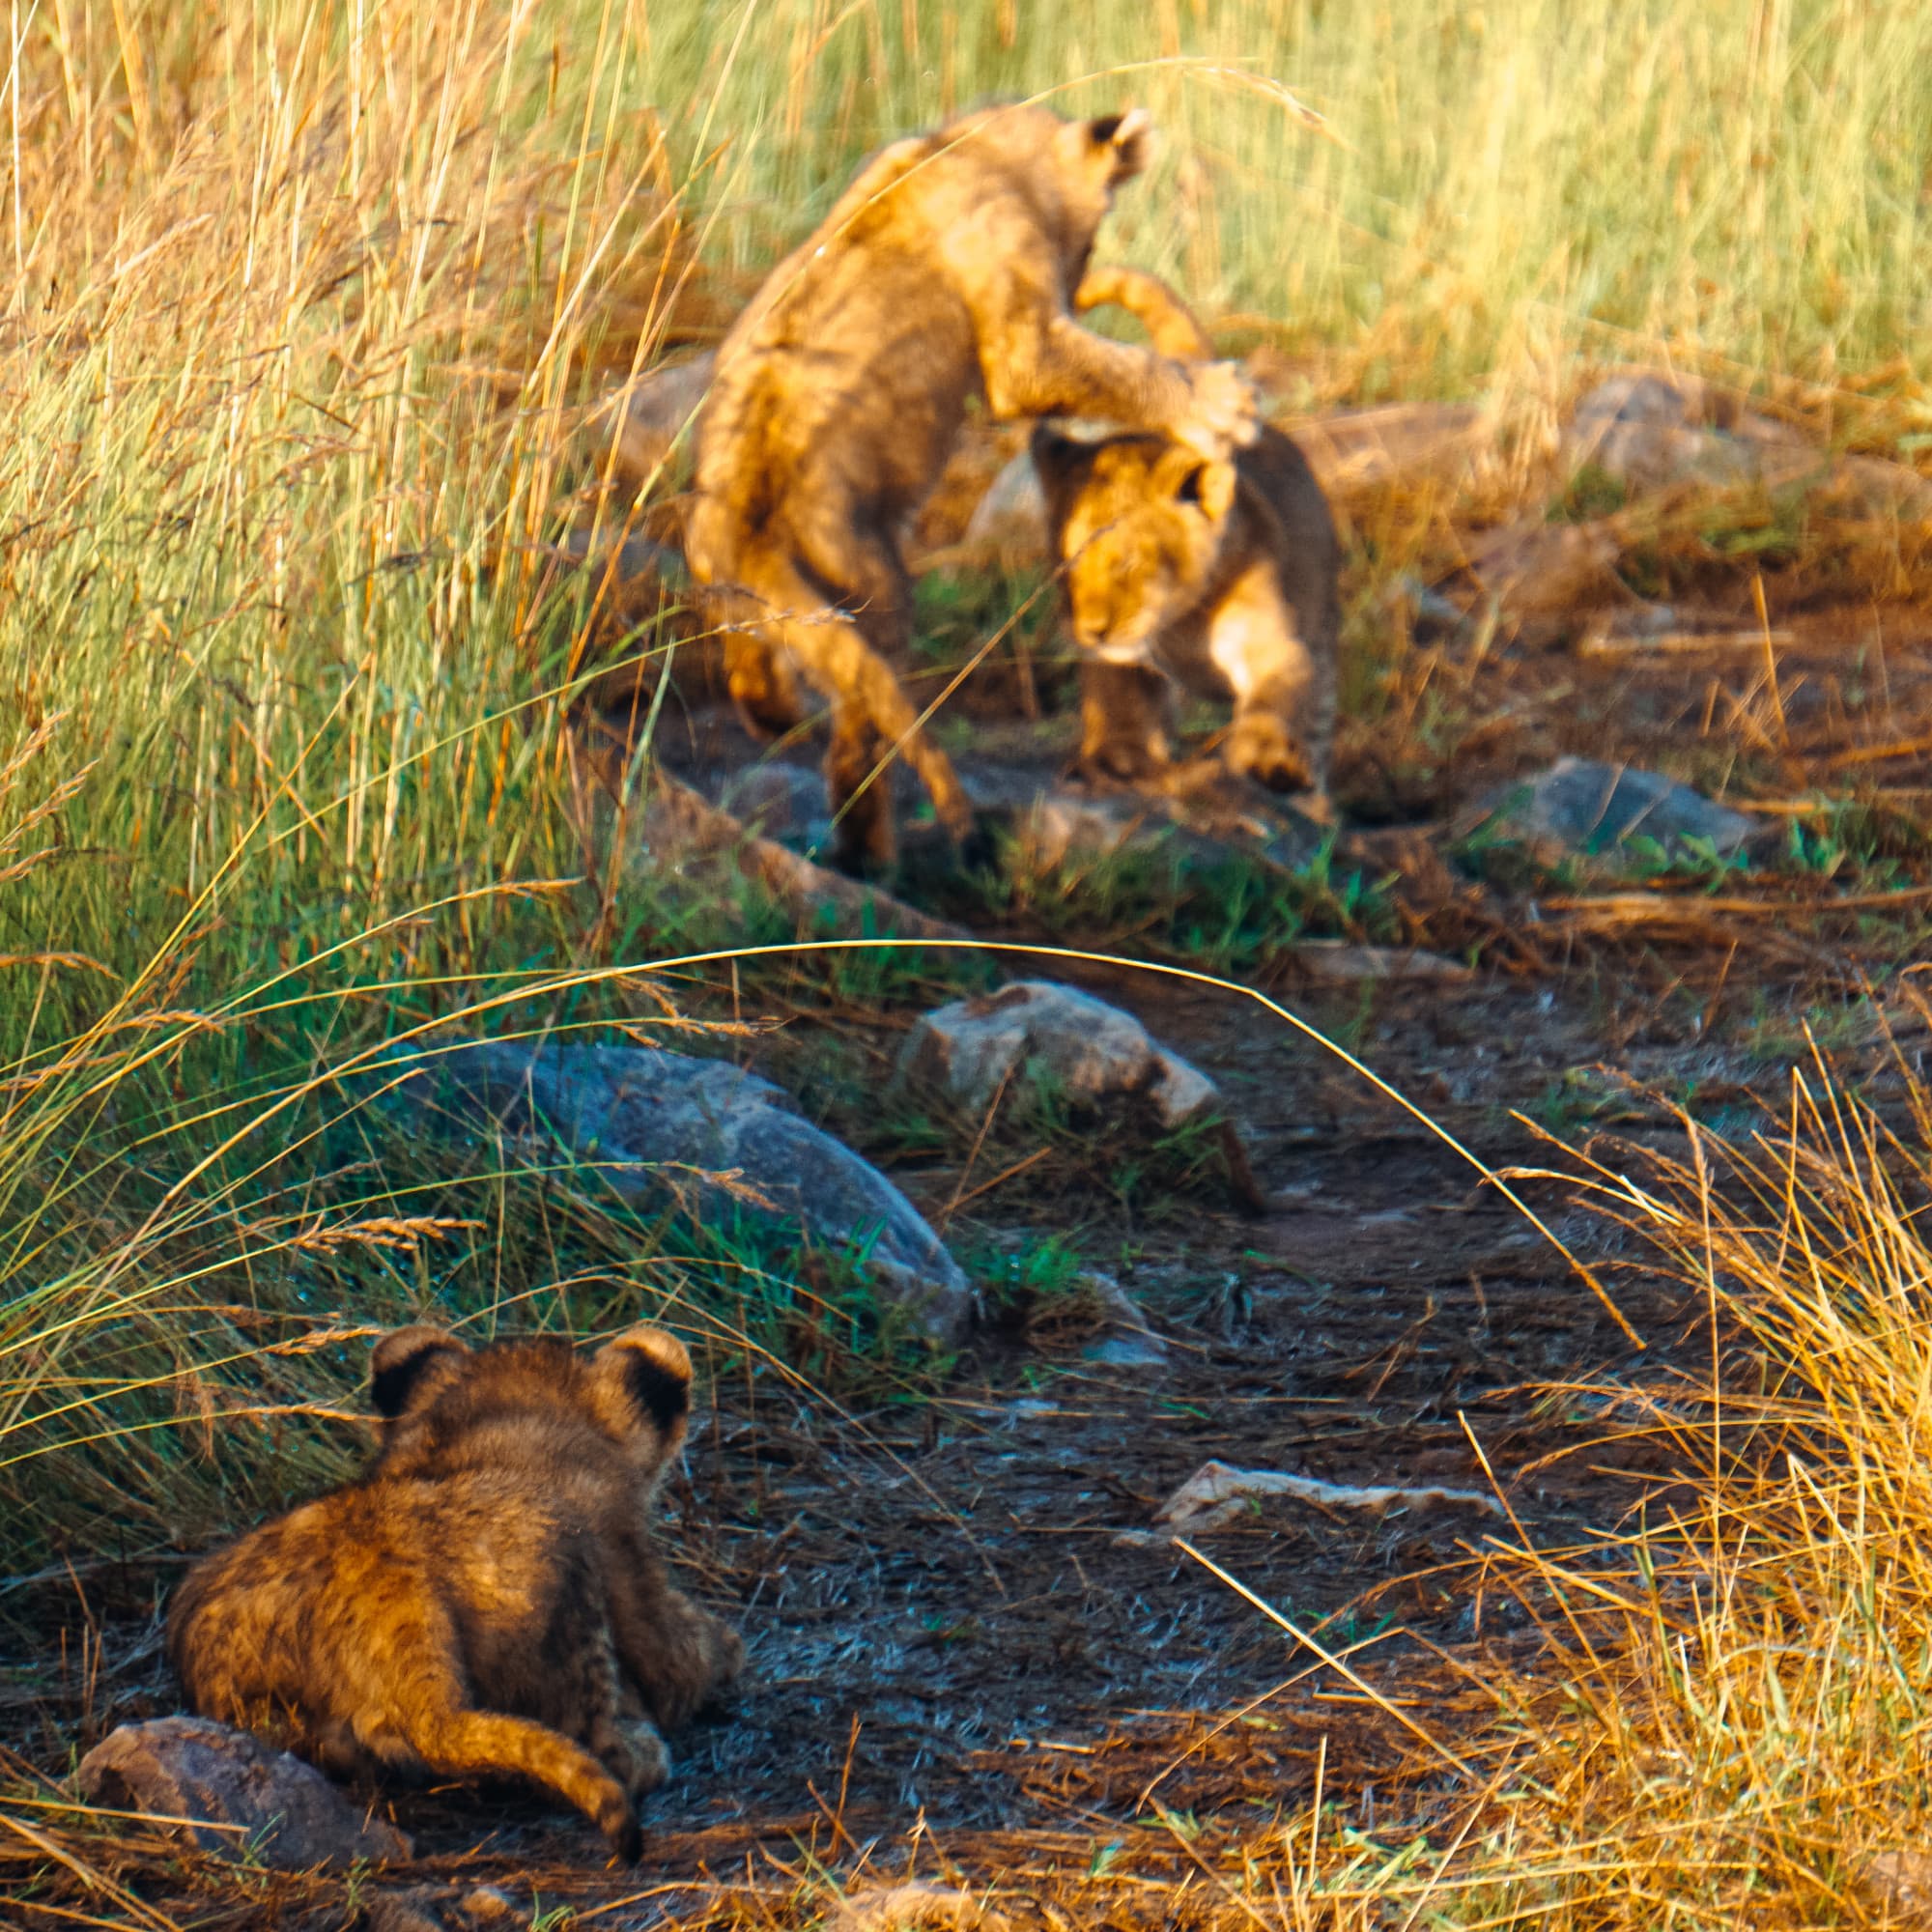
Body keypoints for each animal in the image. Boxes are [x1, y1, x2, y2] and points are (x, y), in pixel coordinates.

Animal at [166, 1324, 743, 1861]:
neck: (498, 1425)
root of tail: (389, 1586)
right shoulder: (634, 1577)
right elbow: (692, 1657)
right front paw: (728, 1653)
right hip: (568, 1587)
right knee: (596, 1740)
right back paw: (643, 1752)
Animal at [685, 101, 1258, 872]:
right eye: (1096, 229)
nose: (1079, 281)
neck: (976, 143)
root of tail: (737, 524)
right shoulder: (1021, 336)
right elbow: (1100, 366)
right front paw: (1219, 402)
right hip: (870, 581)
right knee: (862, 725)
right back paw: (875, 853)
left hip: (738, 599)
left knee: (760, 676)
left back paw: (776, 714)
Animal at [1031, 413, 1342, 803]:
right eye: (1066, 562)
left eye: (1127, 563)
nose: (1093, 630)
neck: (1183, 624)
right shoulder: (1122, 660)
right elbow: (1120, 701)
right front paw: (1116, 759)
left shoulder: (1275, 647)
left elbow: (1275, 703)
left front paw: (1267, 761)